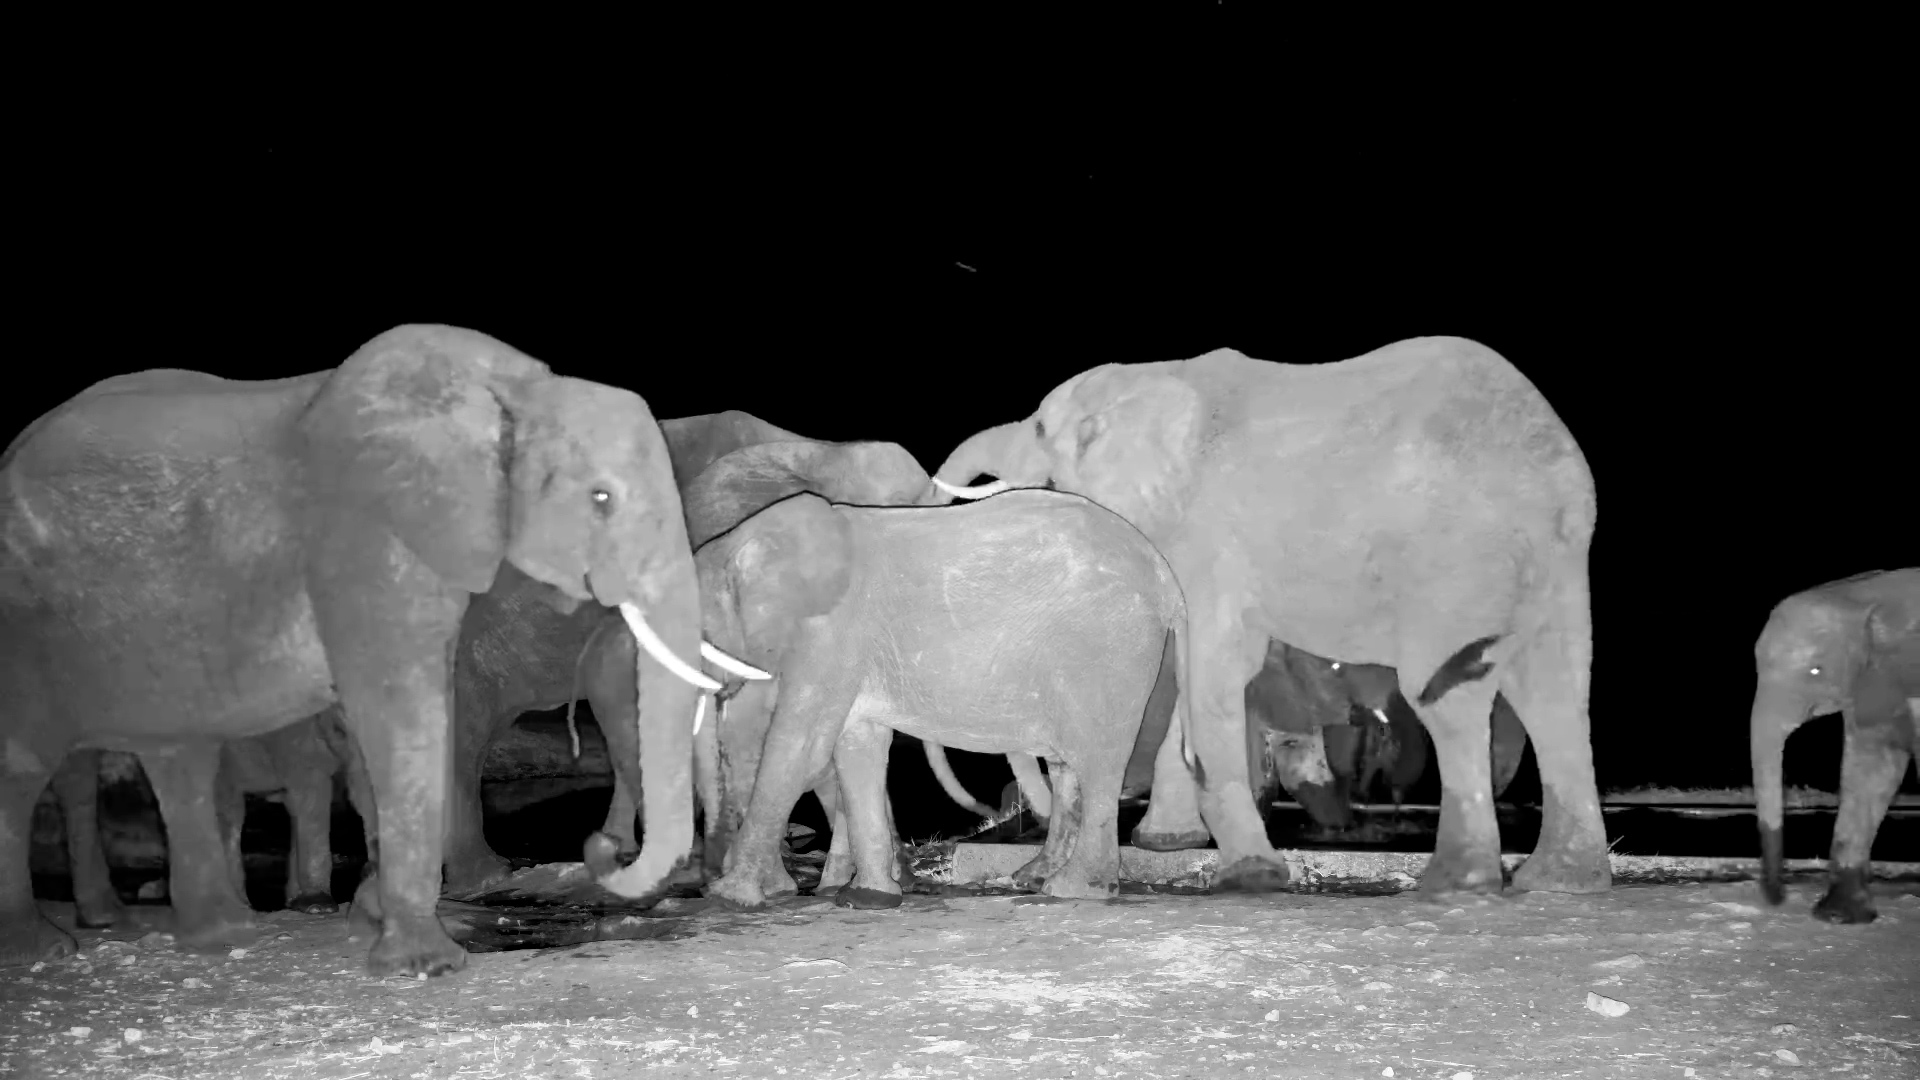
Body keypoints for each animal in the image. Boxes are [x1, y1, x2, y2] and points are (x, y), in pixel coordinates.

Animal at [695, 489, 1187, 909]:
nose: (706, 879)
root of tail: (1168, 581)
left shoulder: (830, 632)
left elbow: (804, 748)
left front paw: (731, 897)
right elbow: (856, 744)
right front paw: (865, 898)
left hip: (1108, 651)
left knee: (1098, 762)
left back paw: (1073, 890)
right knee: (1067, 766)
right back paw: (1034, 877)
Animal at [933, 337, 1604, 897]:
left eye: (1041, 426)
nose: (1000, 820)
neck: (1154, 376)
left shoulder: (1204, 539)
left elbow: (1214, 670)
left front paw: (1249, 876)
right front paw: (1193, 852)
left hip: (1452, 557)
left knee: (1452, 695)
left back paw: (1453, 883)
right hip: (1556, 563)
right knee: (1556, 697)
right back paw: (1559, 880)